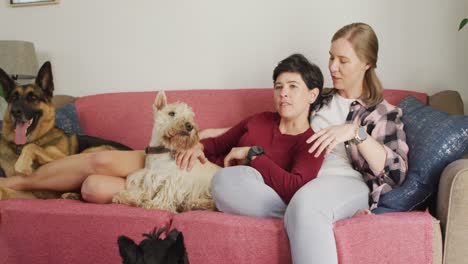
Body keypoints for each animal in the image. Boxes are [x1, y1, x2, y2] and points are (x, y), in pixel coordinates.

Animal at [0, 61, 130, 198]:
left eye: (32, 98)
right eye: (13, 98)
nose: (15, 112)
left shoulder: (62, 159)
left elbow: (33, 147)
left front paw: (23, 164)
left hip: (87, 153)